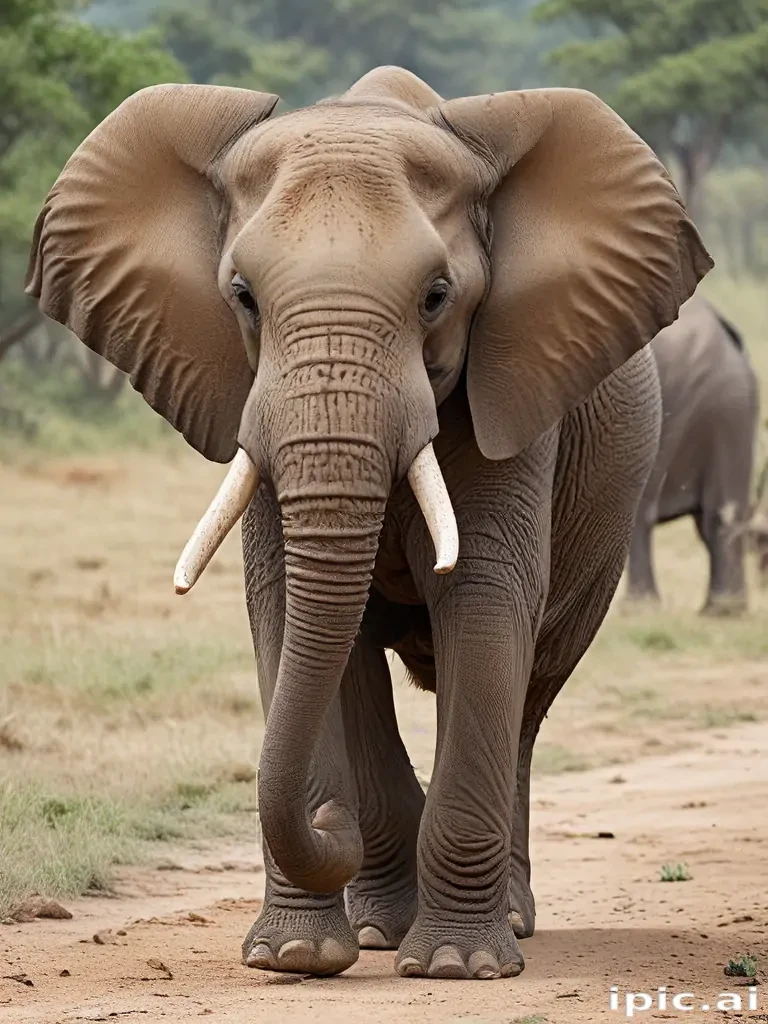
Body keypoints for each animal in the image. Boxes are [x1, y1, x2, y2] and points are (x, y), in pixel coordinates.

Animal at [26, 66, 711, 981]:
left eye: (436, 298)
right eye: (241, 297)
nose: (325, 823)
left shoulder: (507, 391)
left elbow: (483, 600)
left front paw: (456, 966)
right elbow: (296, 614)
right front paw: (298, 956)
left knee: (530, 695)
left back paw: (508, 921)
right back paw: (386, 926)